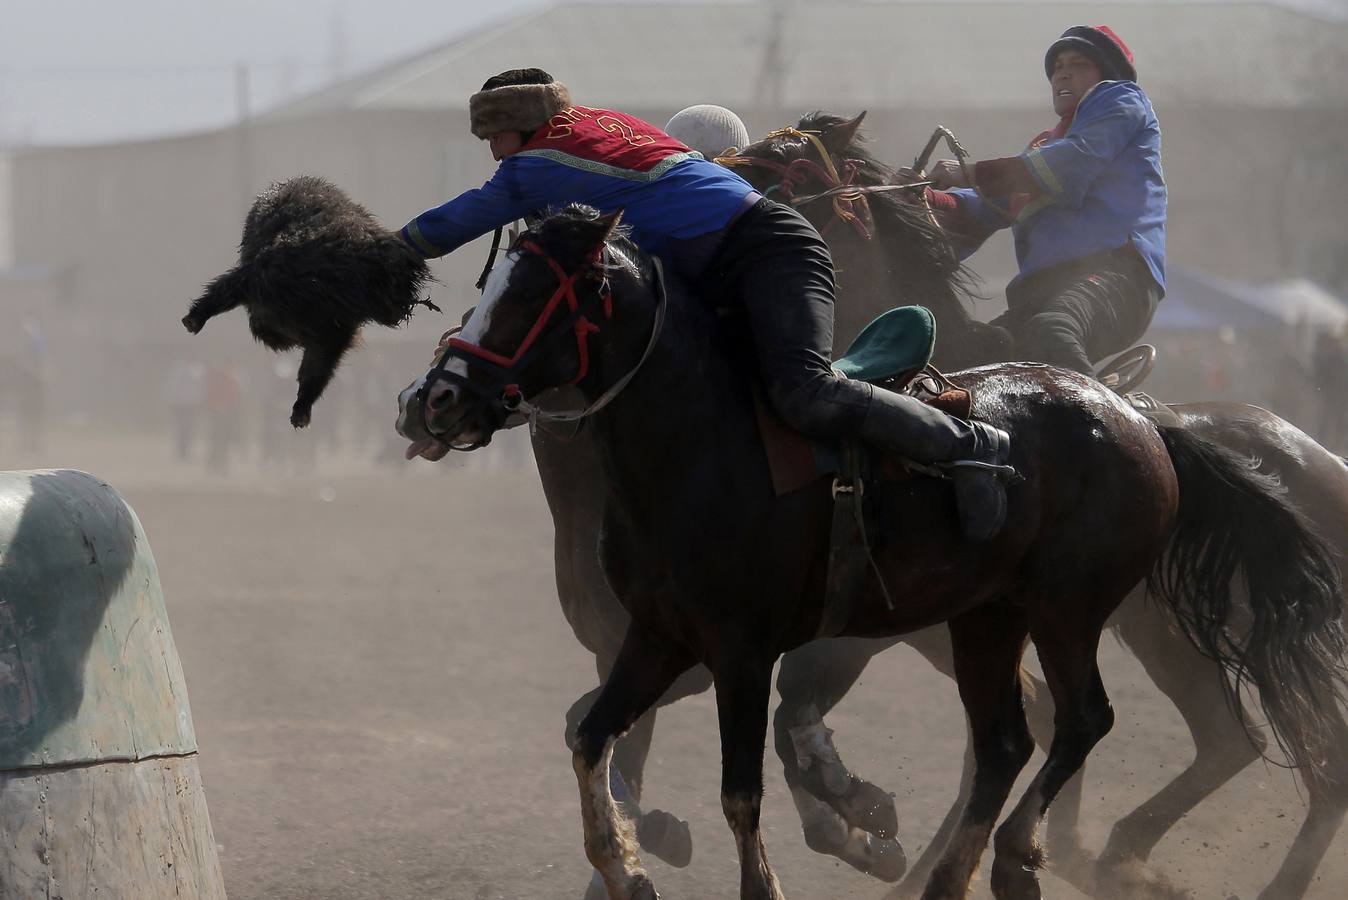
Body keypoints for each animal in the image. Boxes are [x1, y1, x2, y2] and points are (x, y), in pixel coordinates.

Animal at [395, 204, 1346, 900]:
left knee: (1087, 723)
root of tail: (1142, 421)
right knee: (1012, 742)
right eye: (489, 287)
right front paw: (627, 866)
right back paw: (960, 875)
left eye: (532, 297)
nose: (435, 399)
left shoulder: (745, 652)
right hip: (992, 621)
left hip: (1072, 612)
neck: (706, 444)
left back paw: (1023, 859)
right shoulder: (656, 638)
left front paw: (802, 851)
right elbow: (592, 734)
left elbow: (742, 784)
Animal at [726, 111, 1348, 899]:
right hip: (1174, 638)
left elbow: (805, 695)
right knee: (1236, 743)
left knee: (1311, 760)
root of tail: (1324, 466)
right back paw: (1111, 857)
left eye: (795, 168)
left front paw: (858, 822)